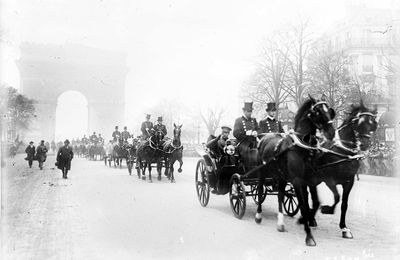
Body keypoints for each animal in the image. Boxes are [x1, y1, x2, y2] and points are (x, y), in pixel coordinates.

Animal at [255, 96, 336, 247]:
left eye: (329, 110)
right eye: (317, 111)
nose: (331, 133)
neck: (302, 147)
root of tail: (264, 138)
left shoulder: (310, 180)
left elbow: (315, 203)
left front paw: (305, 220)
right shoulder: (297, 181)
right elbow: (304, 206)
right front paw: (309, 236)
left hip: (281, 176)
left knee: (280, 195)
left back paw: (280, 223)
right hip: (262, 173)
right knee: (260, 190)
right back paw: (258, 216)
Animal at [304, 102, 376, 240]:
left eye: (372, 124)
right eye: (357, 122)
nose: (364, 144)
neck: (343, 153)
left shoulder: (349, 182)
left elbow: (344, 204)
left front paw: (344, 228)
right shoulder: (329, 180)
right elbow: (337, 197)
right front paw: (327, 209)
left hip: (316, 179)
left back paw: (312, 218)